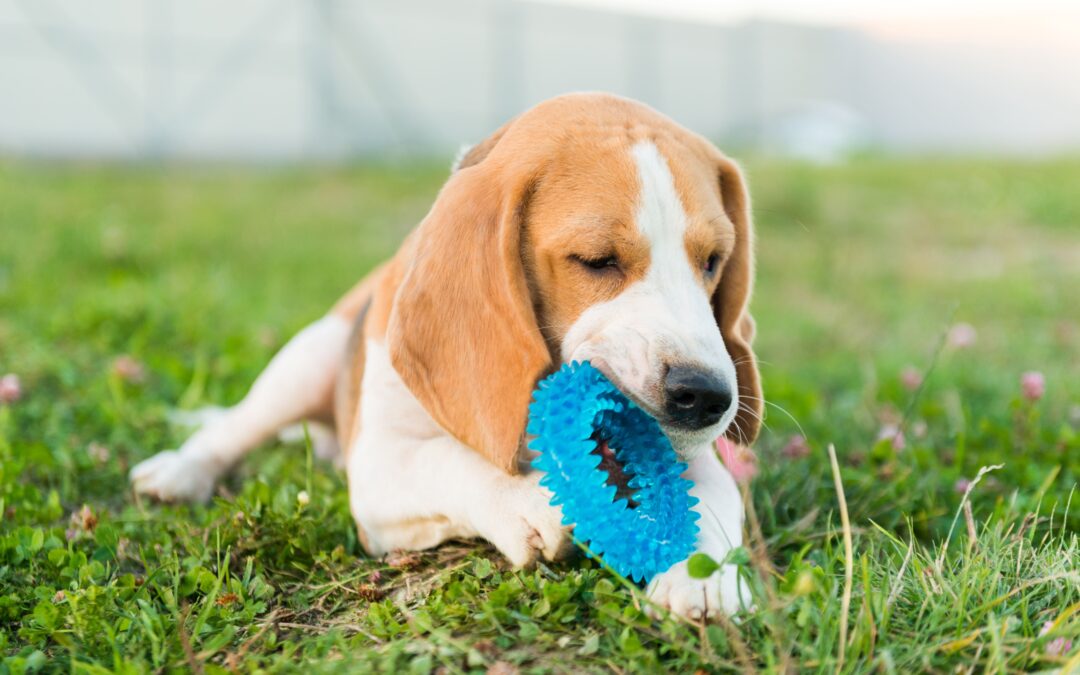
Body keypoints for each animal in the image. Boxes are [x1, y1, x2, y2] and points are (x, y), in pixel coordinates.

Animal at [130, 92, 764, 617]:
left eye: (714, 261)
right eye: (596, 260)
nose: (706, 397)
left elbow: (712, 497)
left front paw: (704, 577)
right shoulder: (379, 467)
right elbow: (445, 459)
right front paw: (524, 500)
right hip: (305, 359)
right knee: (234, 427)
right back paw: (179, 472)